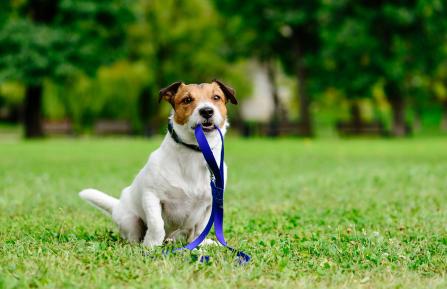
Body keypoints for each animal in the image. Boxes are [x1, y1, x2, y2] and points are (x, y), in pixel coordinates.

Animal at [79, 80, 238, 246]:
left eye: (216, 97)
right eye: (187, 99)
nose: (207, 111)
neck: (197, 151)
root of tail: (118, 205)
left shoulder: (210, 204)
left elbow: (200, 230)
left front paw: (197, 245)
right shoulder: (151, 196)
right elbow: (156, 224)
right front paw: (151, 245)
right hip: (130, 220)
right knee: (134, 235)